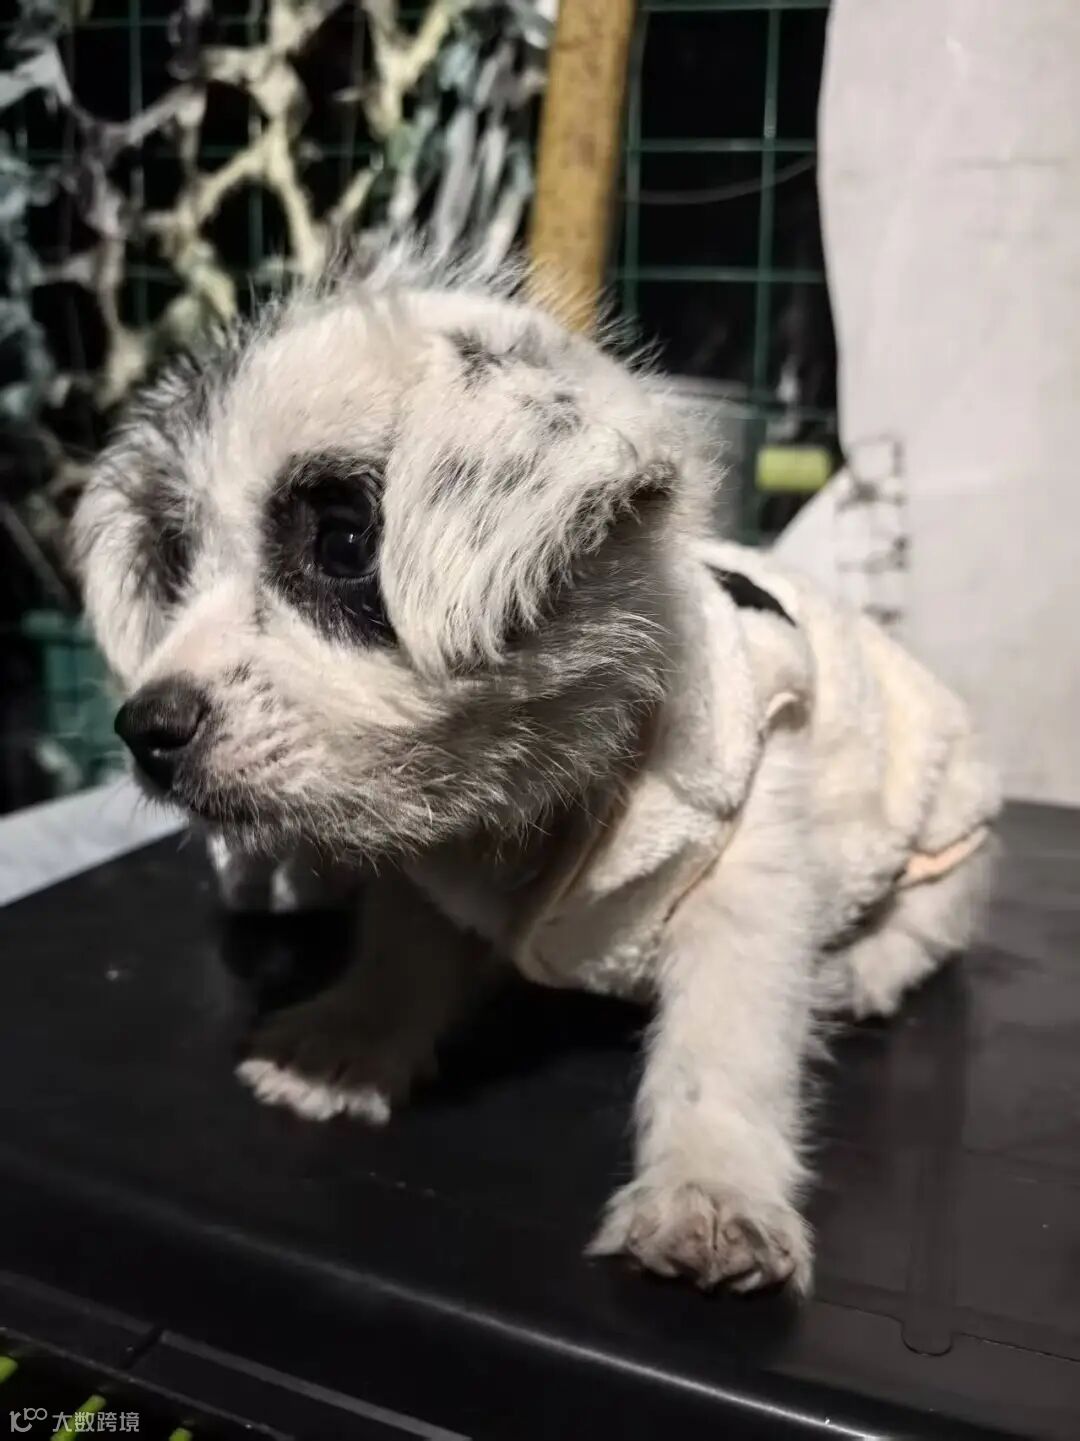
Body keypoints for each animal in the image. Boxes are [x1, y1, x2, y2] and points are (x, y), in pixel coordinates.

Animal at [73, 248, 999, 1294]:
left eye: (344, 543)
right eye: (178, 565)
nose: (144, 728)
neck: (545, 796)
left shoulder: (749, 865)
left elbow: (726, 1040)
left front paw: (709, 1189)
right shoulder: (432, 874)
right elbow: (403, 946)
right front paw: (350, 1043)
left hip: (949, 836)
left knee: (926, 929)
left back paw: (859, 971)